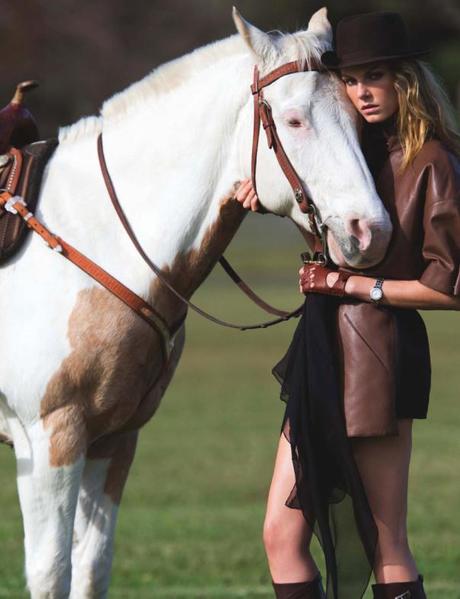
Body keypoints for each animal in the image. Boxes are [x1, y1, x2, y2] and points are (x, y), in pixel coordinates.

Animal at [0, 7, 392, 596]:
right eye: (294, 121)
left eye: (359, 114)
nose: (371, 231)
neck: (92, 239)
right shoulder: (51, 438)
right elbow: (51, 570)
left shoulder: (115, 440)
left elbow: (91, 567)